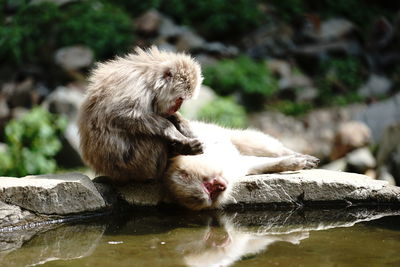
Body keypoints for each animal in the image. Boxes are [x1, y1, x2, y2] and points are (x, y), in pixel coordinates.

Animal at [78, 46, 203, 184]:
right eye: (180, 99)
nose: (177, 107)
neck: (149, 80)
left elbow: (163, 114)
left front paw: (182, 124)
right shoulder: (135, 87)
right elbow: (119, 115)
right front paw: (172, 131)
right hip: (131, 165)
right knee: (154, 140)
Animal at [164, 122, 320, 211]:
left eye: (208, 186)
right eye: (212, 192)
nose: (222, 187)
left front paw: (292, 161)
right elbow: (251, 164)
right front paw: (286, 164)